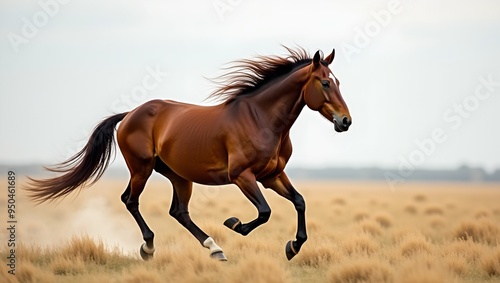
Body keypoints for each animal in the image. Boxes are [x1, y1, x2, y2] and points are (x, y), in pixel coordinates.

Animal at [26, 46, 352, 262]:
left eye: (338, 82)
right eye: (325, 82)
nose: (346, 121)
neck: (261, 118)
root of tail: (130, 114)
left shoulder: (272, 175)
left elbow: (299, 201)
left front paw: (293, 247)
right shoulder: (243, 176)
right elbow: (264, 212)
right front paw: (235, 224)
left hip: (179, 176)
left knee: (178, 212)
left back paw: (214, 248)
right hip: (142, 169)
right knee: (130, 200)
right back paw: (149, 248)